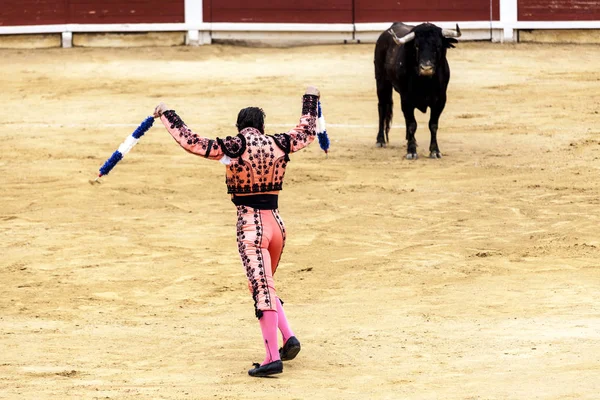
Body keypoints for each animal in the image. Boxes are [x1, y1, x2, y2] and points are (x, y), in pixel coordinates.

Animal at [372, 22, 462, 159]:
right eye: (416, 46)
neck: (425, 82)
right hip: (381, 82)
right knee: (382, 108)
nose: (426, 68)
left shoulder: (440, 101)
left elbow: (433, 125)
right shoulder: (406, 100)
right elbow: (412, 124)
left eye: (438, 46)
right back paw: (380, 140)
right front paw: (411, 151)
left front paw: (435, 151)